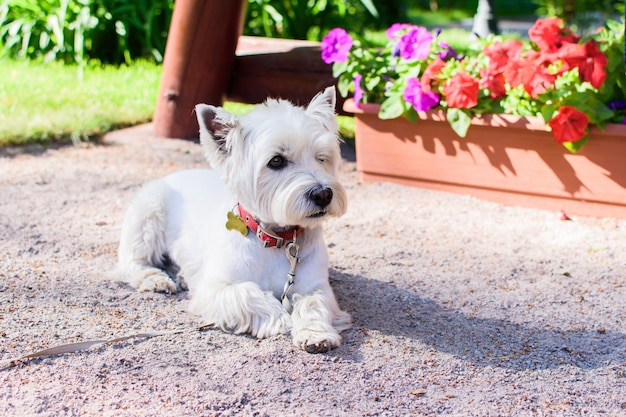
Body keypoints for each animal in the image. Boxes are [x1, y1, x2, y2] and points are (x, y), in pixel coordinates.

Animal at [117, 87, 352, 352]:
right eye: (276, 160)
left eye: (321, 157)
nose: (323, 194)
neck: (274, 239)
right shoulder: (214, 289)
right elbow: (249, 294)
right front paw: (282, 319)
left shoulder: (315, 285)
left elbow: (313, 303)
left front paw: (315, 334)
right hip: (147, 216)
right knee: (132, 262)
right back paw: (156, 279)